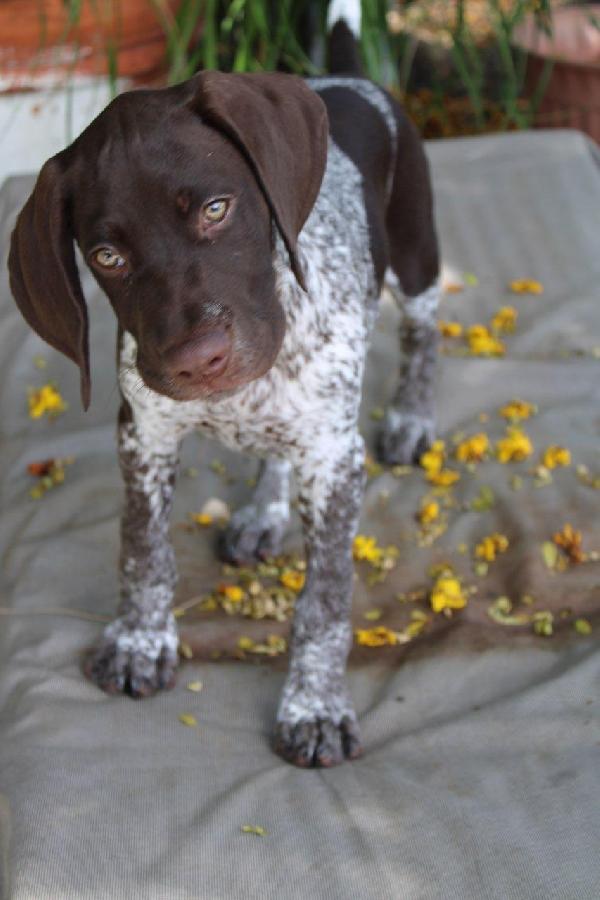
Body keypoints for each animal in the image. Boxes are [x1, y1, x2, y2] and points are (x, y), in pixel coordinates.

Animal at [8, 7, 440, 768]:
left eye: (215, 209)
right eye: (106, 255)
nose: (197, 359)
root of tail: (346, 78)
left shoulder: (335, 459)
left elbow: (324, 602)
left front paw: (315, 707)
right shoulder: (144, 435)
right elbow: (142, 551)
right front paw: (141, 640)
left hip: (417, 257)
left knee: (425, 334)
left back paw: (410, 418)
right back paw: (264, 510)